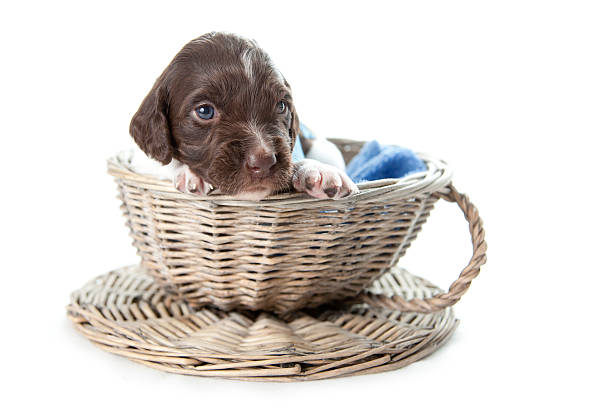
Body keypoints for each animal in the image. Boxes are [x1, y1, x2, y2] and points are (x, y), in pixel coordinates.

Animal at [130, 31, 358, 199]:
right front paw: (189, 173)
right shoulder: (139, 159)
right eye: (205, 111)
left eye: (281, 106)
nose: (263, 162)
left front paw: (316, 170)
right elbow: (163, 163)